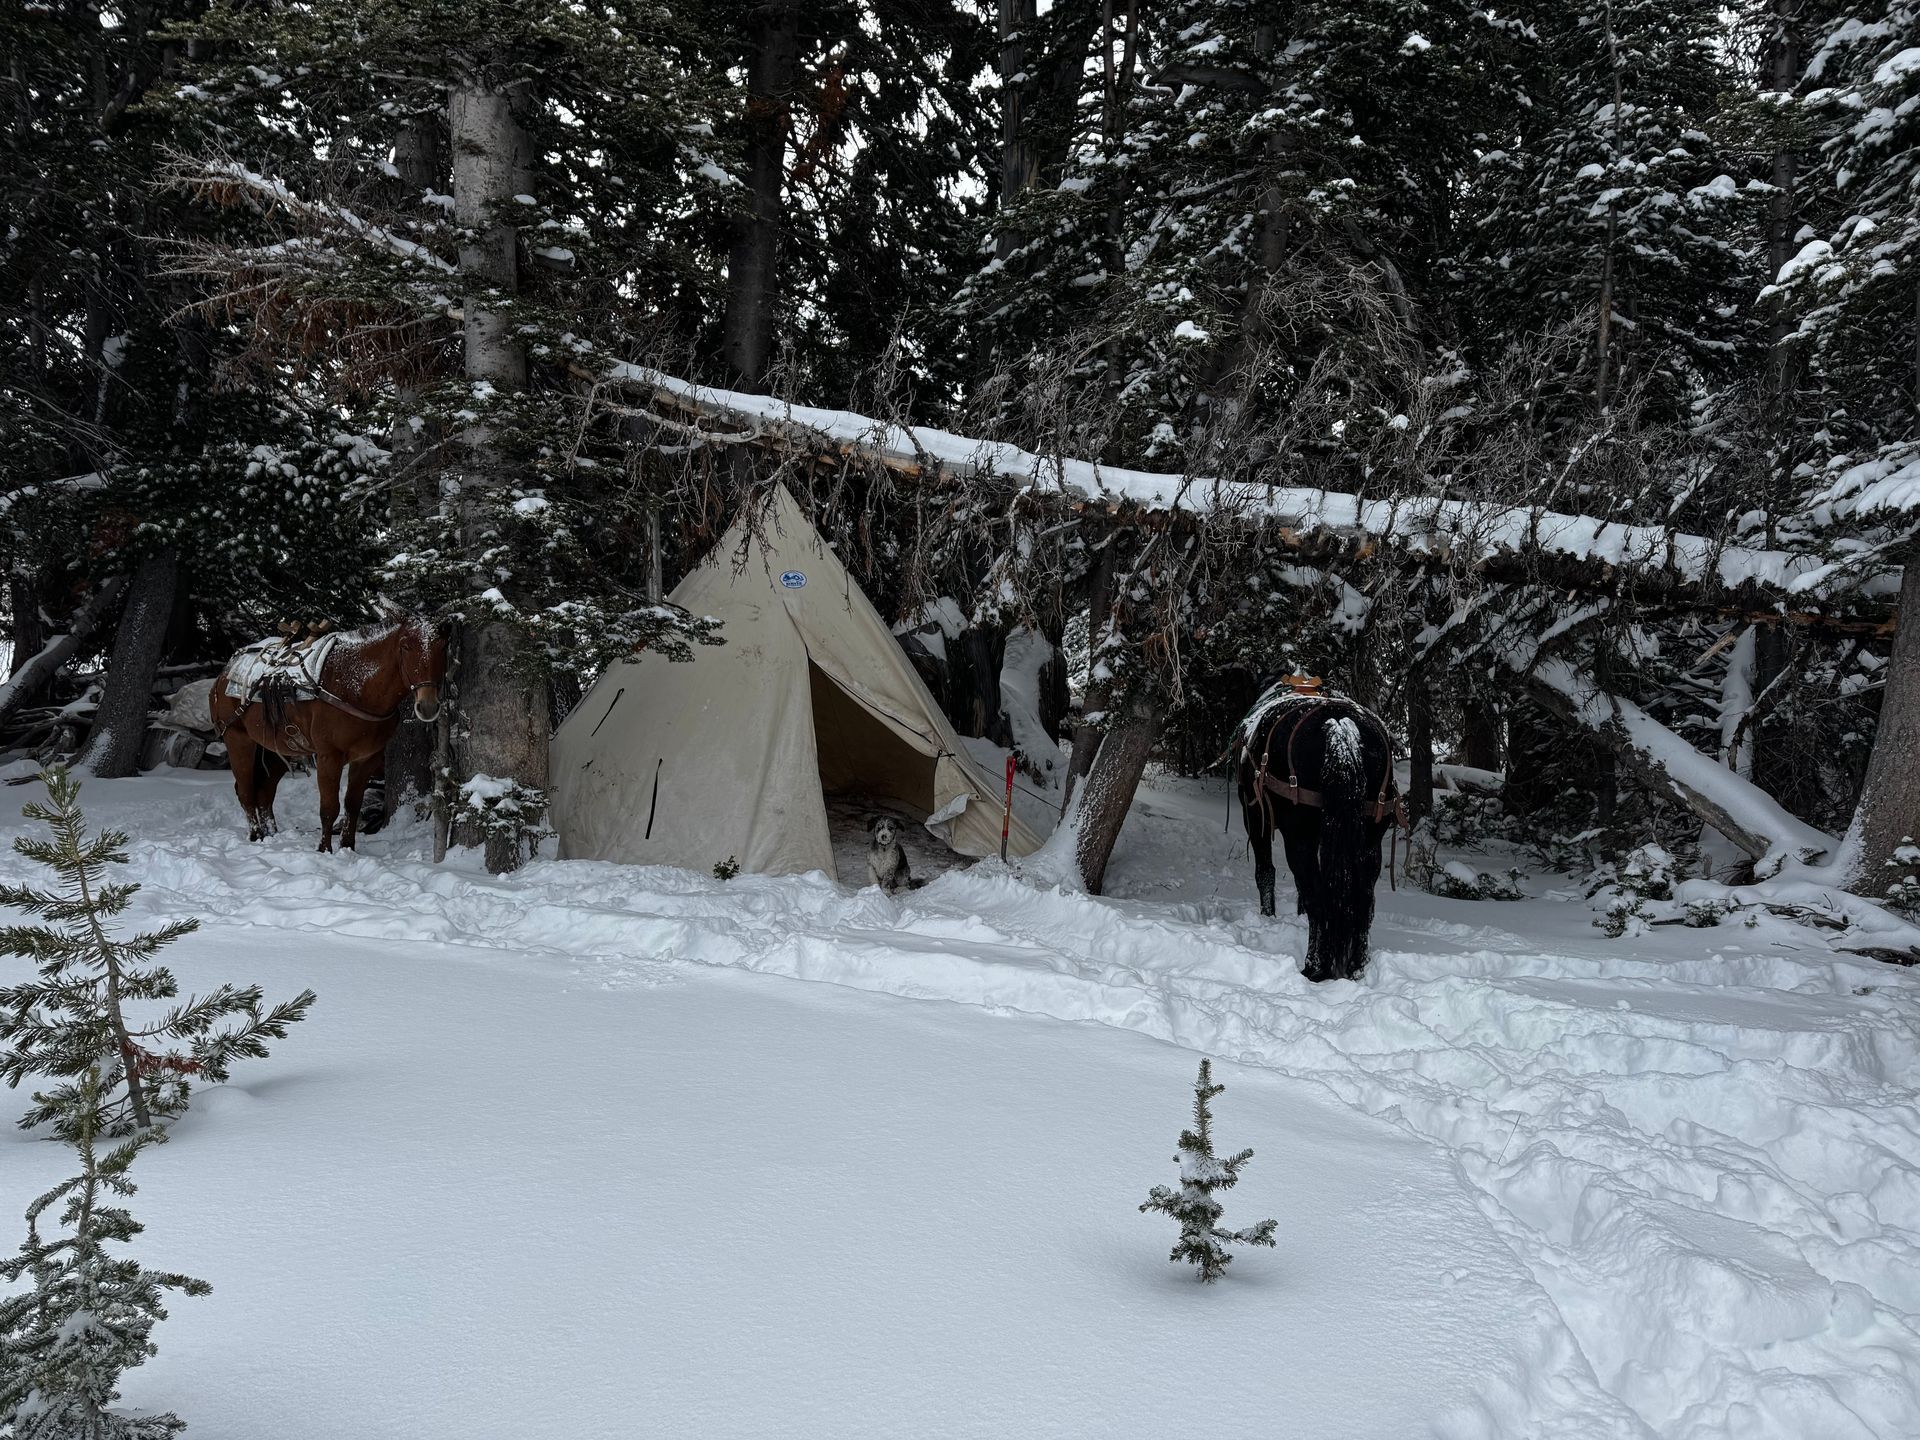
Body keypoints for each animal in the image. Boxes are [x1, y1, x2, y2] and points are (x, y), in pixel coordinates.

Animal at [209, 618, 446, 852]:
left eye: (441, 648)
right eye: (406, 646)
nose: (427, 706)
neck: (356, 685)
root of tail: (222, 676)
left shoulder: (367, 758)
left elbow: (353, 804)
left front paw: (348, 847)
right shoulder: (328, 756)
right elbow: (329, 807)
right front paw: (325, 849)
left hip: (276, 749)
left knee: (264, 792)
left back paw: (271, 835)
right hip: (238, 740)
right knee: (246, 791)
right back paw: (256, 835)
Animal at [1233, 683, 1401, 982]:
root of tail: (1341, 729)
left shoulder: (1255, 817)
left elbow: (1265, 873)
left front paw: (1268, 917)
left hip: (1299, 837)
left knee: (1316, 895)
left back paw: (1315, 967)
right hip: (1370, 840)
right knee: (1364, 900)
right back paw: (1357, 967)